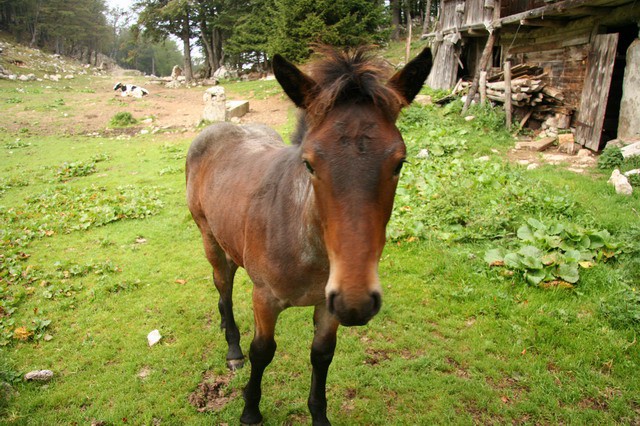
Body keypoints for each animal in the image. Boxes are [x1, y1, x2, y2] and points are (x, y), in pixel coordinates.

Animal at [186, 45, 436, 424]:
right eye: (309, 164)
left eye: (399, 163)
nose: (356, 301)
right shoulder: (265, 297)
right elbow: (262, 351)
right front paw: (250, 410)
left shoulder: (327, 304)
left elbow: (322, 354)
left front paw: (319, 414)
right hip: (209, 237)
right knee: (223, 288)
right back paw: (232, 347)